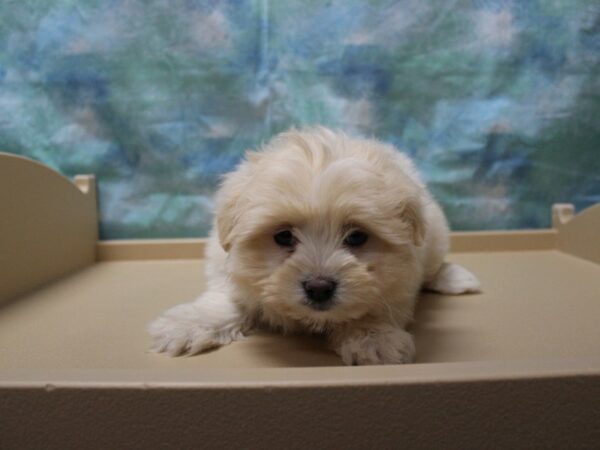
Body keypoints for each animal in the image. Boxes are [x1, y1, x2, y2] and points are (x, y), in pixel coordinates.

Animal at [148, 127, 480, 366]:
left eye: (357, 237)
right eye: (283, 236)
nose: (319, 288)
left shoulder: (398, 281)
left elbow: (369, 309)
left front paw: (373, 338)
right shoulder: (226, 266)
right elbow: (225, 300)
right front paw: (186, 325)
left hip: (436, 234)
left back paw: (453, 278)